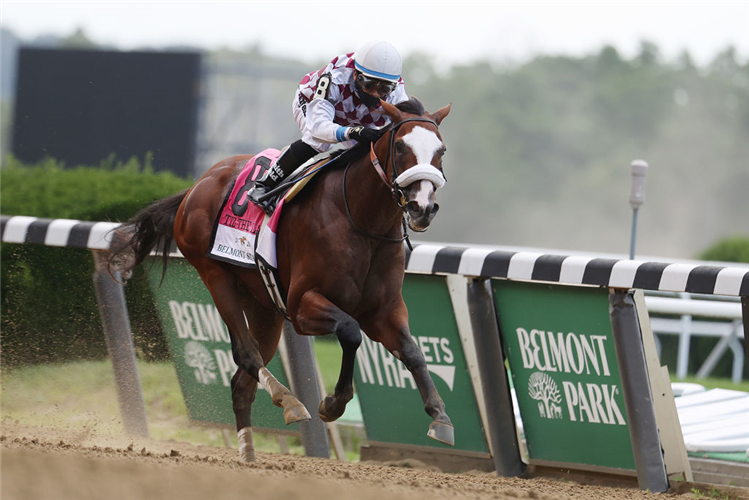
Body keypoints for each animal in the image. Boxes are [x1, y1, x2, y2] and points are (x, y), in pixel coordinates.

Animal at [109, 97, 452, 460]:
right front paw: (332, 403)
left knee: (241, 382)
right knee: (247, 354)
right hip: (215, 276)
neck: (361, 222)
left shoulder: (383, 311)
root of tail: (197, 185)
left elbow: (413, 351)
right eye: (400, 146)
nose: (422, 207)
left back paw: (248, 452)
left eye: (441, 150)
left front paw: (440, 416)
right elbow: (350, 331)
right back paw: (288, 400)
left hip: (264, 307)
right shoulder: (302, 306)